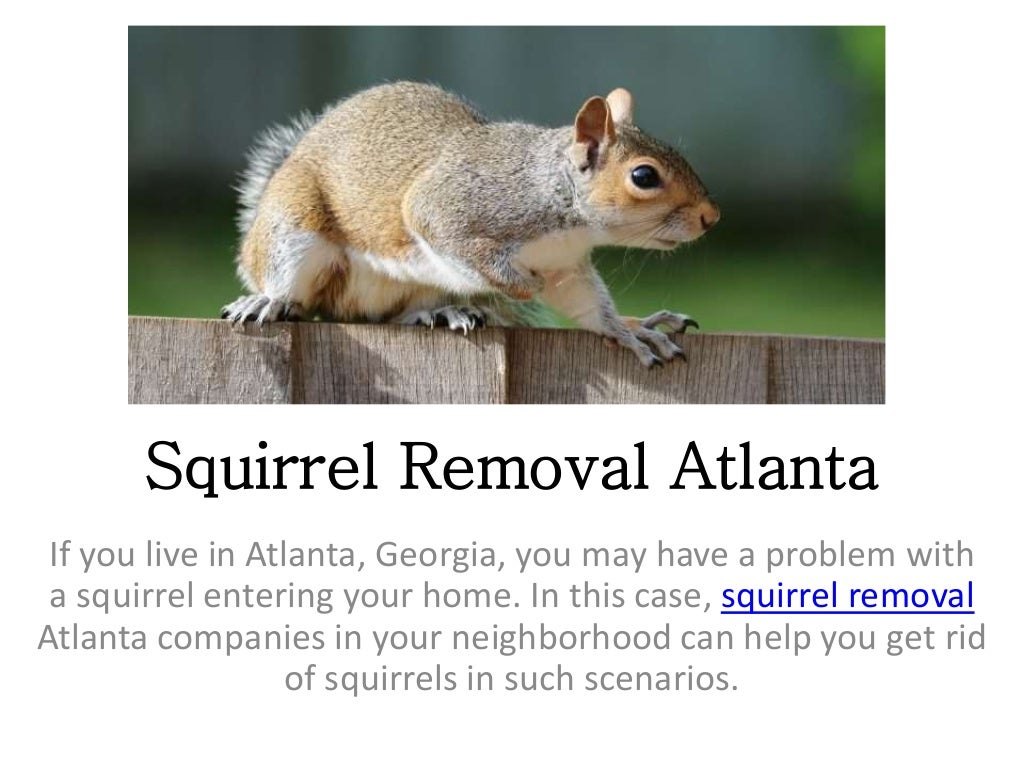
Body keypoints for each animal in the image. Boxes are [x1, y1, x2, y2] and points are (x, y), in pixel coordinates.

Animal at [223, 82, 720, 367]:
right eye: (644, 176)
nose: (710, 218)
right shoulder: (449, 207)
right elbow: (454, 241)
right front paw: (520, 285)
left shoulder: (565, 266)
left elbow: (587, 307)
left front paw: (631, 331)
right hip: (293, 228)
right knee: (295, 290)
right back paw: (268, 301)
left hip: (410, 290)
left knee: (389, 316)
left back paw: (440, 312)